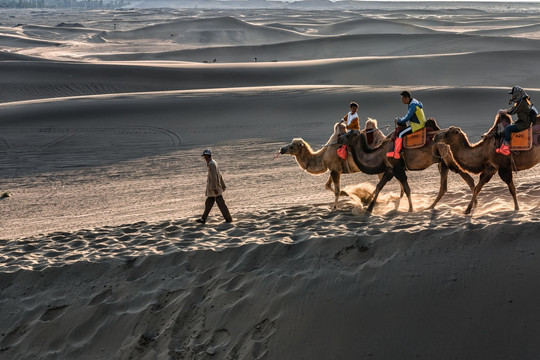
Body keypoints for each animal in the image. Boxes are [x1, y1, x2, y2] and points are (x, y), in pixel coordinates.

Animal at [340, 119, 474, 211]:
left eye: (348, 135)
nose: (339, 138)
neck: (382, 151)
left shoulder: (397, 168)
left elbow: (407, 188)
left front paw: (410, 209)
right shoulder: (390, 169)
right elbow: (379, 186)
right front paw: (369, 208)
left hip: (449, 160)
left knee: (468, 179)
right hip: (443, 162)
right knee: (444, 187)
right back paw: (431, 206)